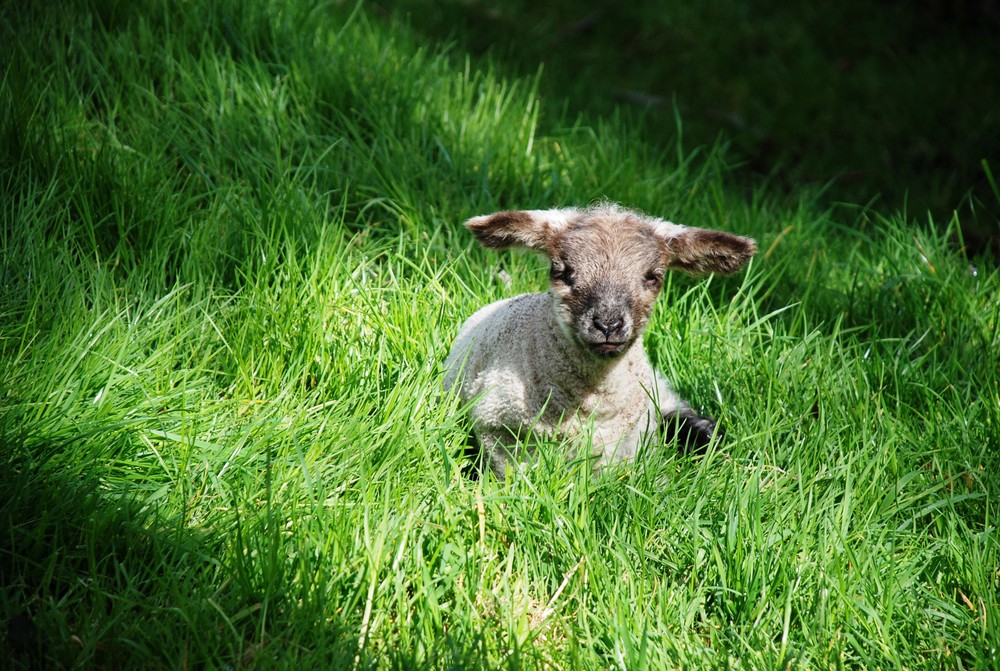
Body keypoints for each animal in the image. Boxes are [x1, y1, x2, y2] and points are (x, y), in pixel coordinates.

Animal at [446, 203, 756, 478]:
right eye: (563, 272)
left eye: (653, 277)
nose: (608, 324)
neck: (595, 402)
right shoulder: (497, 429)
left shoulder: (633, 443)